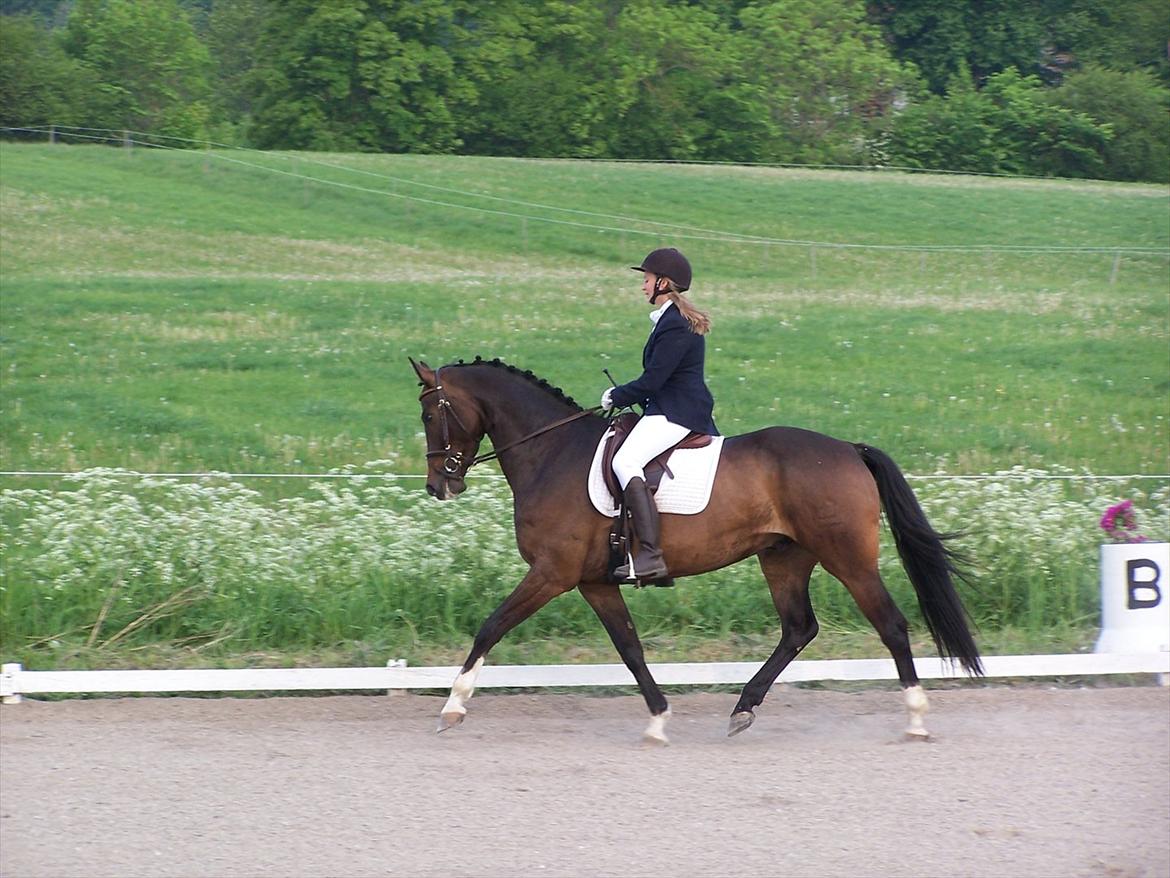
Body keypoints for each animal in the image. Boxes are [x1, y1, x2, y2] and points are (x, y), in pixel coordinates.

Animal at [409, 355, 978, 744]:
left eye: (431, 415)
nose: (439, 486)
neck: (552, 453)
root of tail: (848, 449)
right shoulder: (593, 581)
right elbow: (630, 648)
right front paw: (658, 720)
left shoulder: (552, 573)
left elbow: (491, 626)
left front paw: (453, 707)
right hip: (783, 557)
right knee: (799, 628)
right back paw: (743, 708)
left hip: (848, 558)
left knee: (890, 624)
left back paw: (916, 718)